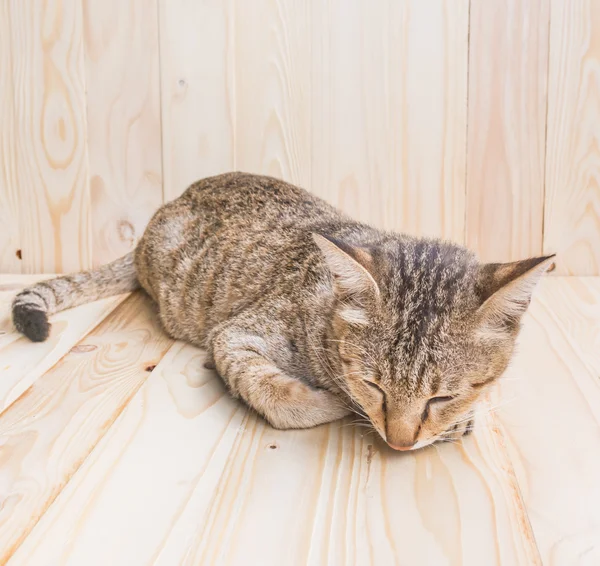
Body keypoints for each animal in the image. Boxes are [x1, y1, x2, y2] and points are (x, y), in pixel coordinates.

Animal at [11, 173, 552, 452]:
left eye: (443, 397)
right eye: (374, 386)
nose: (399, 444)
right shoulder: (235, 337)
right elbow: (280, 395)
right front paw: (334, 402)